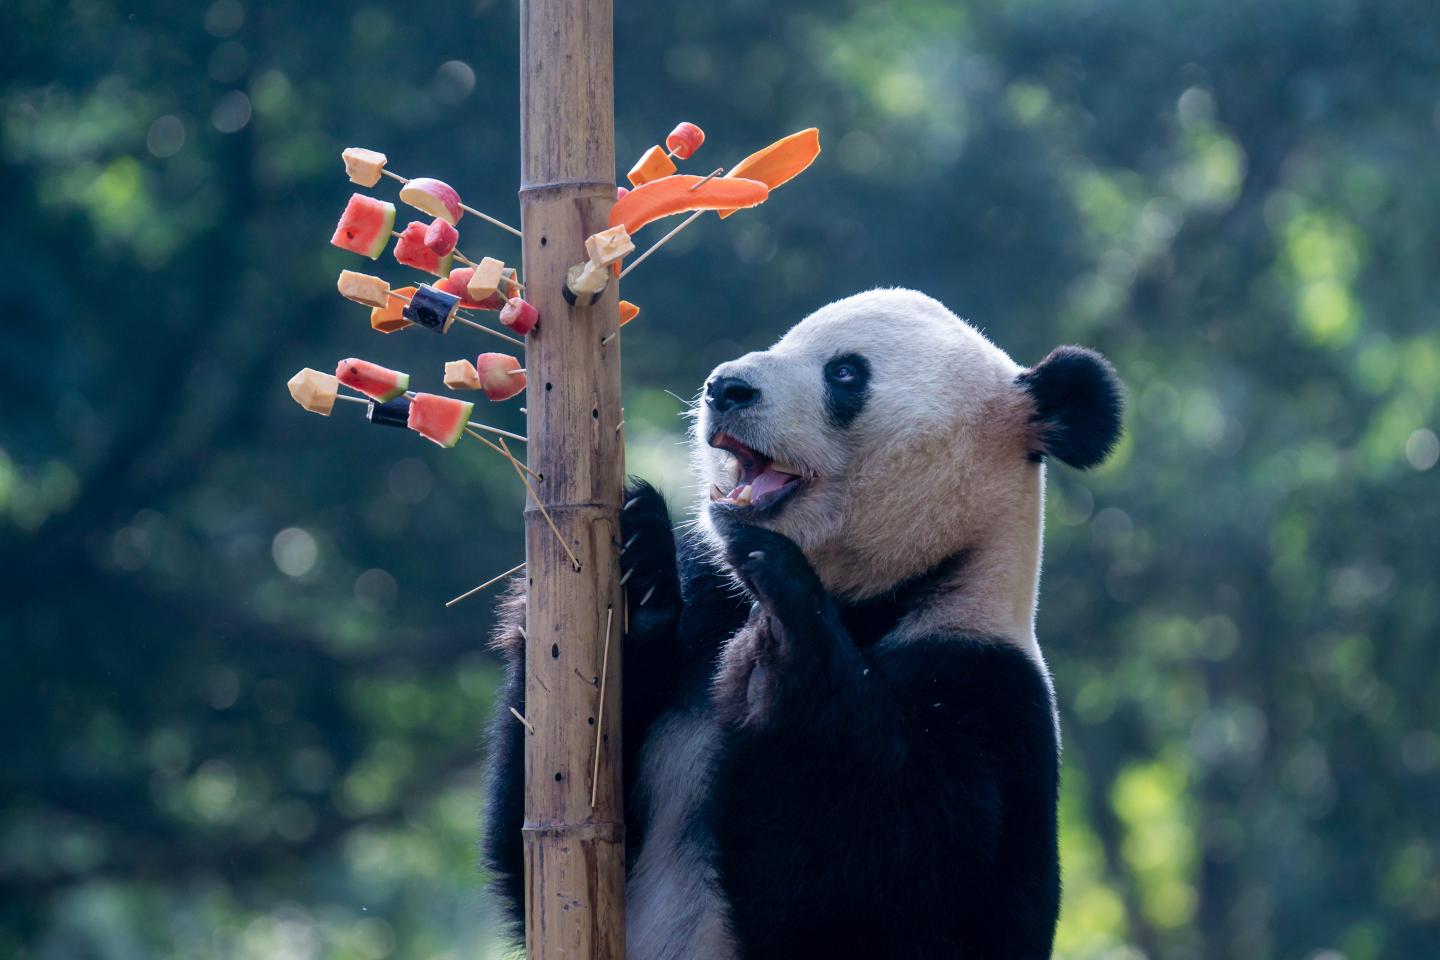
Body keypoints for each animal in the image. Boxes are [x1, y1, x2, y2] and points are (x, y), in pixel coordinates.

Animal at [483, 288, 1124, 960]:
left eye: (844, 372)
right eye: (785, 342)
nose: (725, 387)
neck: (881, 596)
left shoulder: (988, 690)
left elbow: (913, 890)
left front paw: (781, 627)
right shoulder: (710, 606)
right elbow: (544, 852)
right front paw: (642, 558)